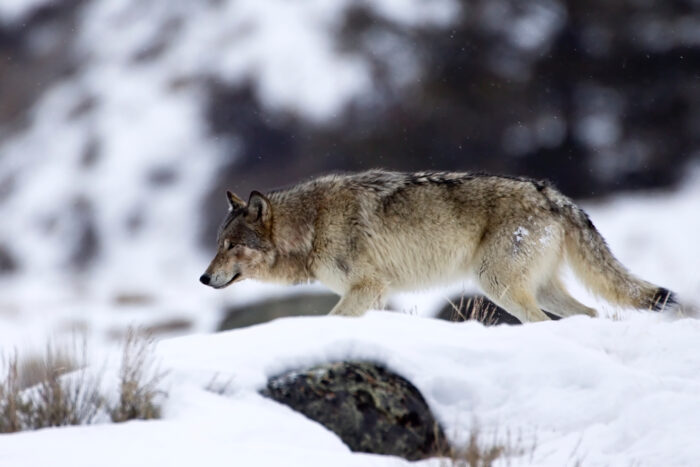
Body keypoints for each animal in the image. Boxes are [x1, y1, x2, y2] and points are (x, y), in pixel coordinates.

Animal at [200, 170, 676, 322]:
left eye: (230, 245)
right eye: (217, 244)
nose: (204, 278)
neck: (312, 225)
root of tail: (553, 194)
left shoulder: (367, 288)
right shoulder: (376, 295)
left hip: (497, 284)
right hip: (538, 288)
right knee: (592, 313)